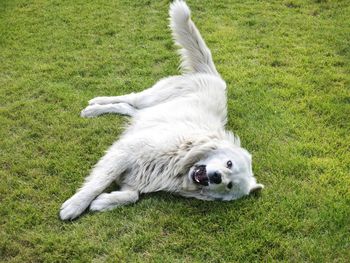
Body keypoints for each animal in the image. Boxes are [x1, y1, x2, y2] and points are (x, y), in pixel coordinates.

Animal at [59, 0, 262, 221]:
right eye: (229, 164)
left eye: (229, 185)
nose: (216, 177)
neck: (181, 159)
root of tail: (214, 77)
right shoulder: (125, 152)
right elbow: (99, 182)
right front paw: (75, 205)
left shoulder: (135, 177)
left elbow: (131, 195)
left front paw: (103, 202)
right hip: (150, 97)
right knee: (128, 98)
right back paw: (93, 106)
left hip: (149, 112)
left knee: (127, 108)